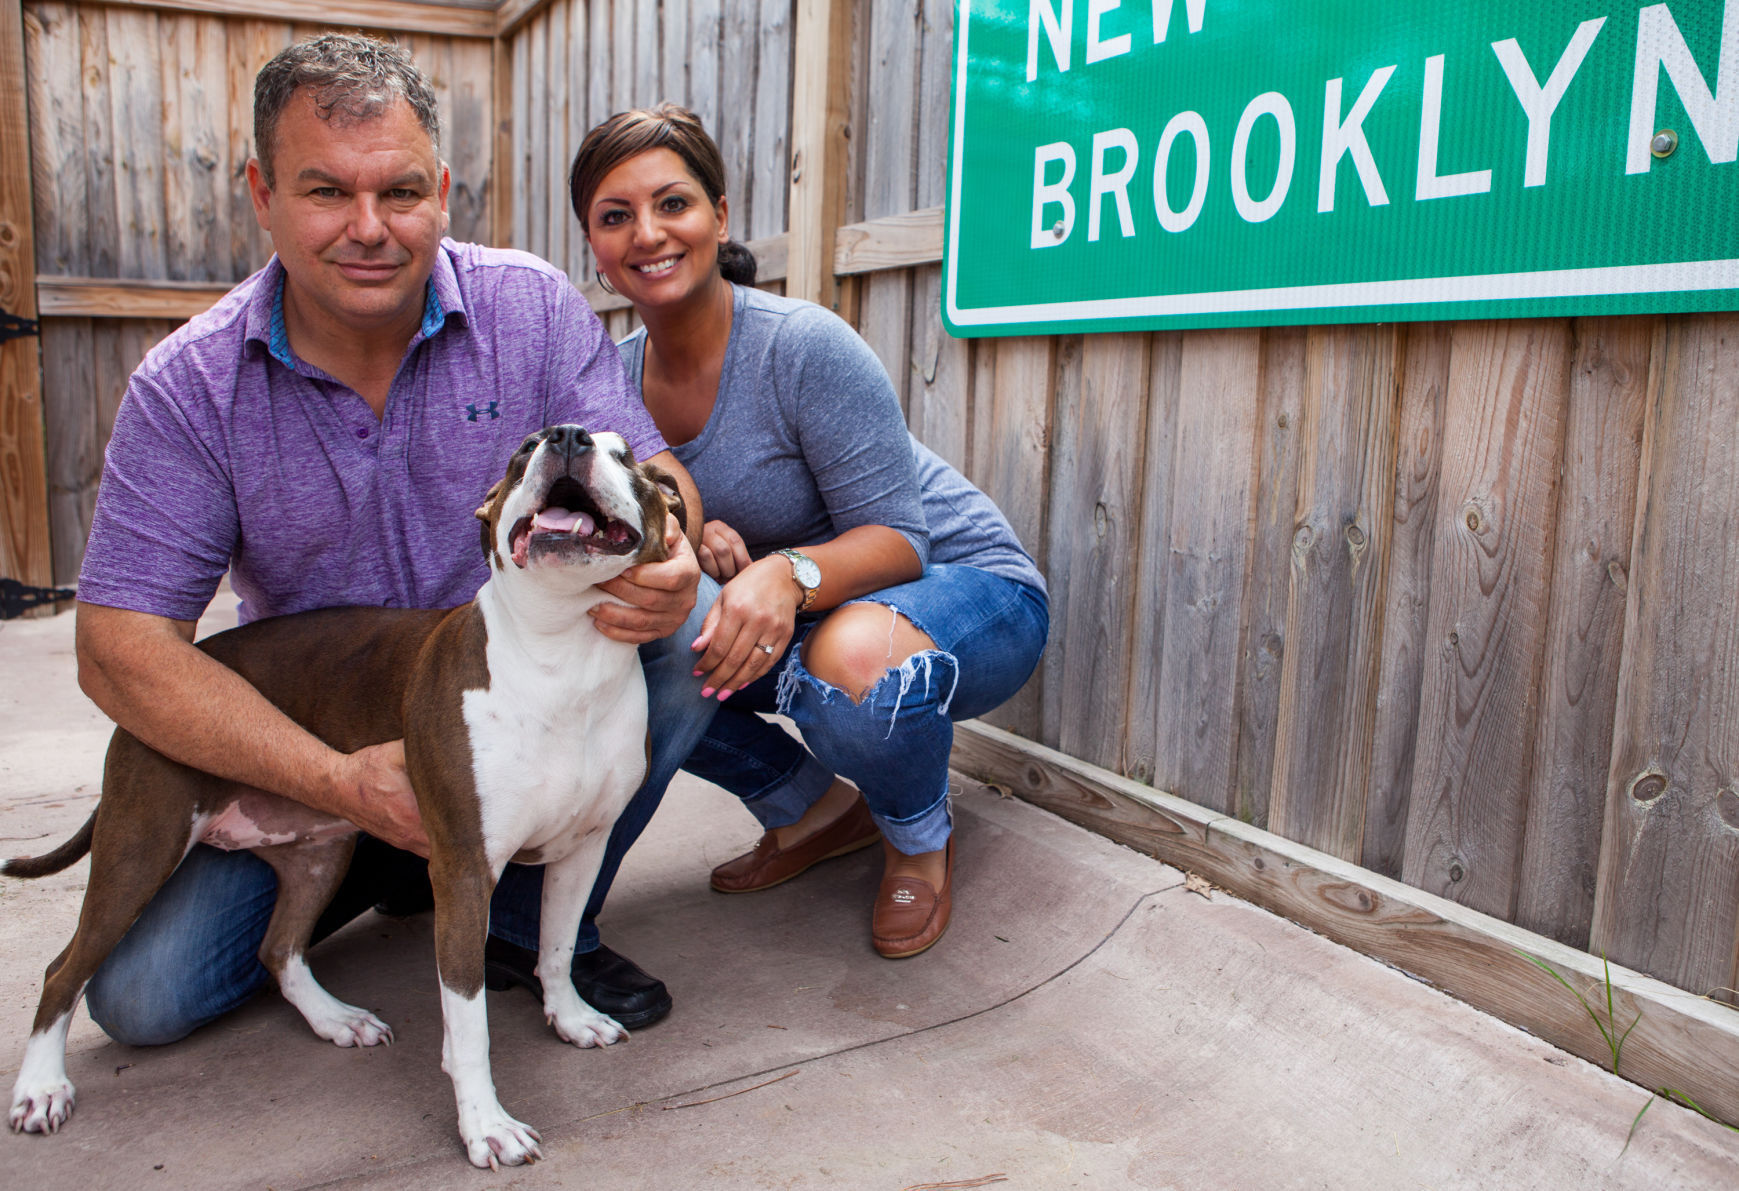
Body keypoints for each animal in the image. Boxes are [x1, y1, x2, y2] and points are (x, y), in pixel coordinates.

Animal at [6, 422, 685, 1168]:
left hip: (315, 855)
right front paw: (485, 1124)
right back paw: (40, 1088)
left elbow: (557, 947)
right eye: (521, 452)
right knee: (63, 969)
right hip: (141, 847)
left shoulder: (582, 849)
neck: (561, 654)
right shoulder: (463, 873)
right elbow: (469, 1022)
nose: (564, 436)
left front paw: (569, 1017)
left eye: (625, 456)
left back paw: (335, 1018)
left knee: (279, 948)